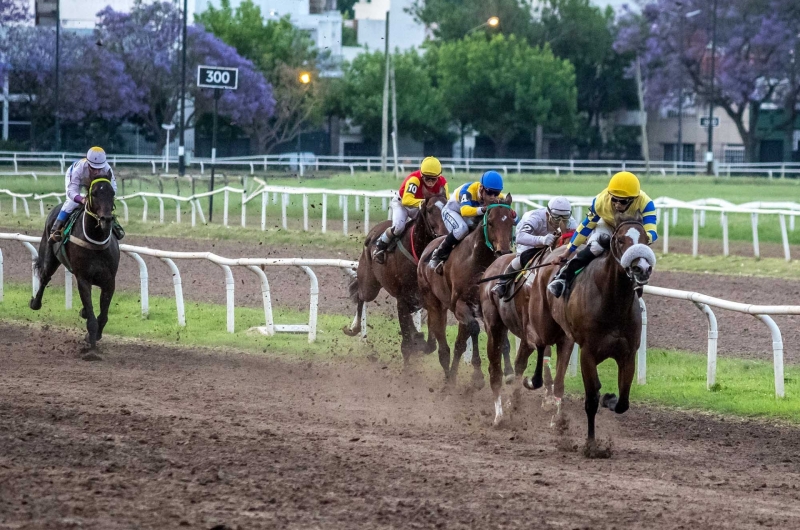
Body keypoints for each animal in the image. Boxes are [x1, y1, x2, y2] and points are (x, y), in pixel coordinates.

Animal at [30, 177, 120, 350]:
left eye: (112, 192)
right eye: (94, 193)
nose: (106, 220)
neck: (96, 241)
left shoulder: (109, 281)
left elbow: (103, 315)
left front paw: (96, 335)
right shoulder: (83, 279)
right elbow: (92, 320)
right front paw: (91, 348)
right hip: (50, 256)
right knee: (45, 277)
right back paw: (35, 303)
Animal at [342, 190, 450, 358]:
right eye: (430, 210)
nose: (444, 234)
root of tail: (373, 232)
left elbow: (430, 343)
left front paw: (420, 340)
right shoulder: (403, 298)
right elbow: (407, 344)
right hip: (369, 285)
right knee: (360, 296)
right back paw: (354, 328)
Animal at [416, 194, 516, 384]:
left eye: (512, 221)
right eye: (490, 222)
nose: (503, 251)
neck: (478, 261)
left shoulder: (488, 306)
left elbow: (501, 339)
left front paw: (508, 371)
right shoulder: (460, 305)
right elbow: (475, 329)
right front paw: (477, 375)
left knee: (459, 344)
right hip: (434, 302)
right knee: (445, 344)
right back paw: (448, 377)